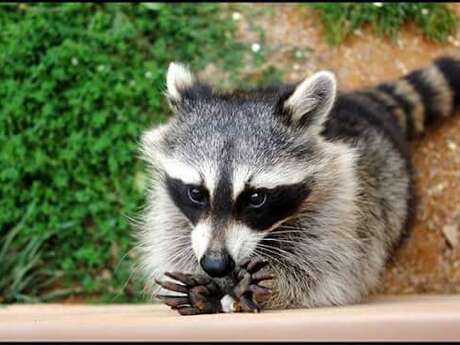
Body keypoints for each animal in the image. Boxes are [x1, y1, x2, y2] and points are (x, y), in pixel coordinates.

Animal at [136, 56, 460, 314]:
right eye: (196, 193)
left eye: (256, 197)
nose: (216, 265)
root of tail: (360, 105)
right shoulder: (171, 210)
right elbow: (173, 239)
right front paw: (209, 289)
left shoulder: (340, 203)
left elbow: (326, 274)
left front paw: (264, 289)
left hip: (395, 185)